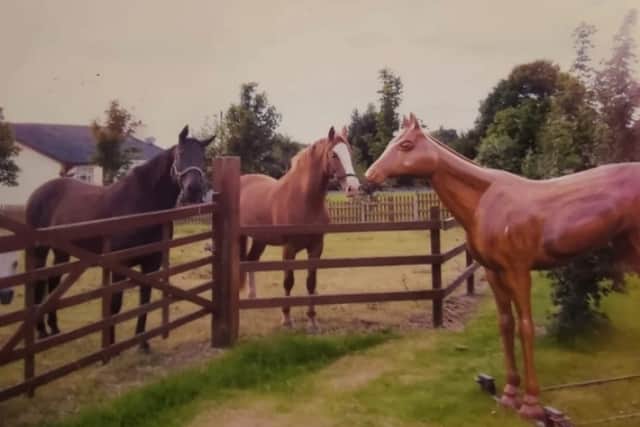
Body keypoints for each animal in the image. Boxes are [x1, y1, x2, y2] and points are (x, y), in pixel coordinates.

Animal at [25, 125, 213, 351]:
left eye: (204, 158)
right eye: (180, 154)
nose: (193, 191)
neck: (142, 205)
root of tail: (38, 192)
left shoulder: (151, 264)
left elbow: (145, 300)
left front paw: (142, 342)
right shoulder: (118, 264)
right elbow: (114, 304)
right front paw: (111, 345)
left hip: (62, 251)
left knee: (53, 283)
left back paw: (53, 328)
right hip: (40, 250)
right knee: (40, 284)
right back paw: (42, 331)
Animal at [239, 126, 360, 330]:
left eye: (350, 152)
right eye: (333, 155)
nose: (353, 188)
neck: (303, 200)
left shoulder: (316, 248)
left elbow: (311, 282)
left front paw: (312, 320)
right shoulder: (289, 249)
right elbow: (288, 281)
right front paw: (286, 318)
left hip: (260, 239)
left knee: (251, 261)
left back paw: (252, 297)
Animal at [365, 113, 640, 420]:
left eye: (406, 145)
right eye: (392, 141)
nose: (369, 178)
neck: (484, 201)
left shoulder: (518, 271)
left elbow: (525, 326)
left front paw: (531, 403)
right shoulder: (493, 272)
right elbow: (506, 324)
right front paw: (509, 394)